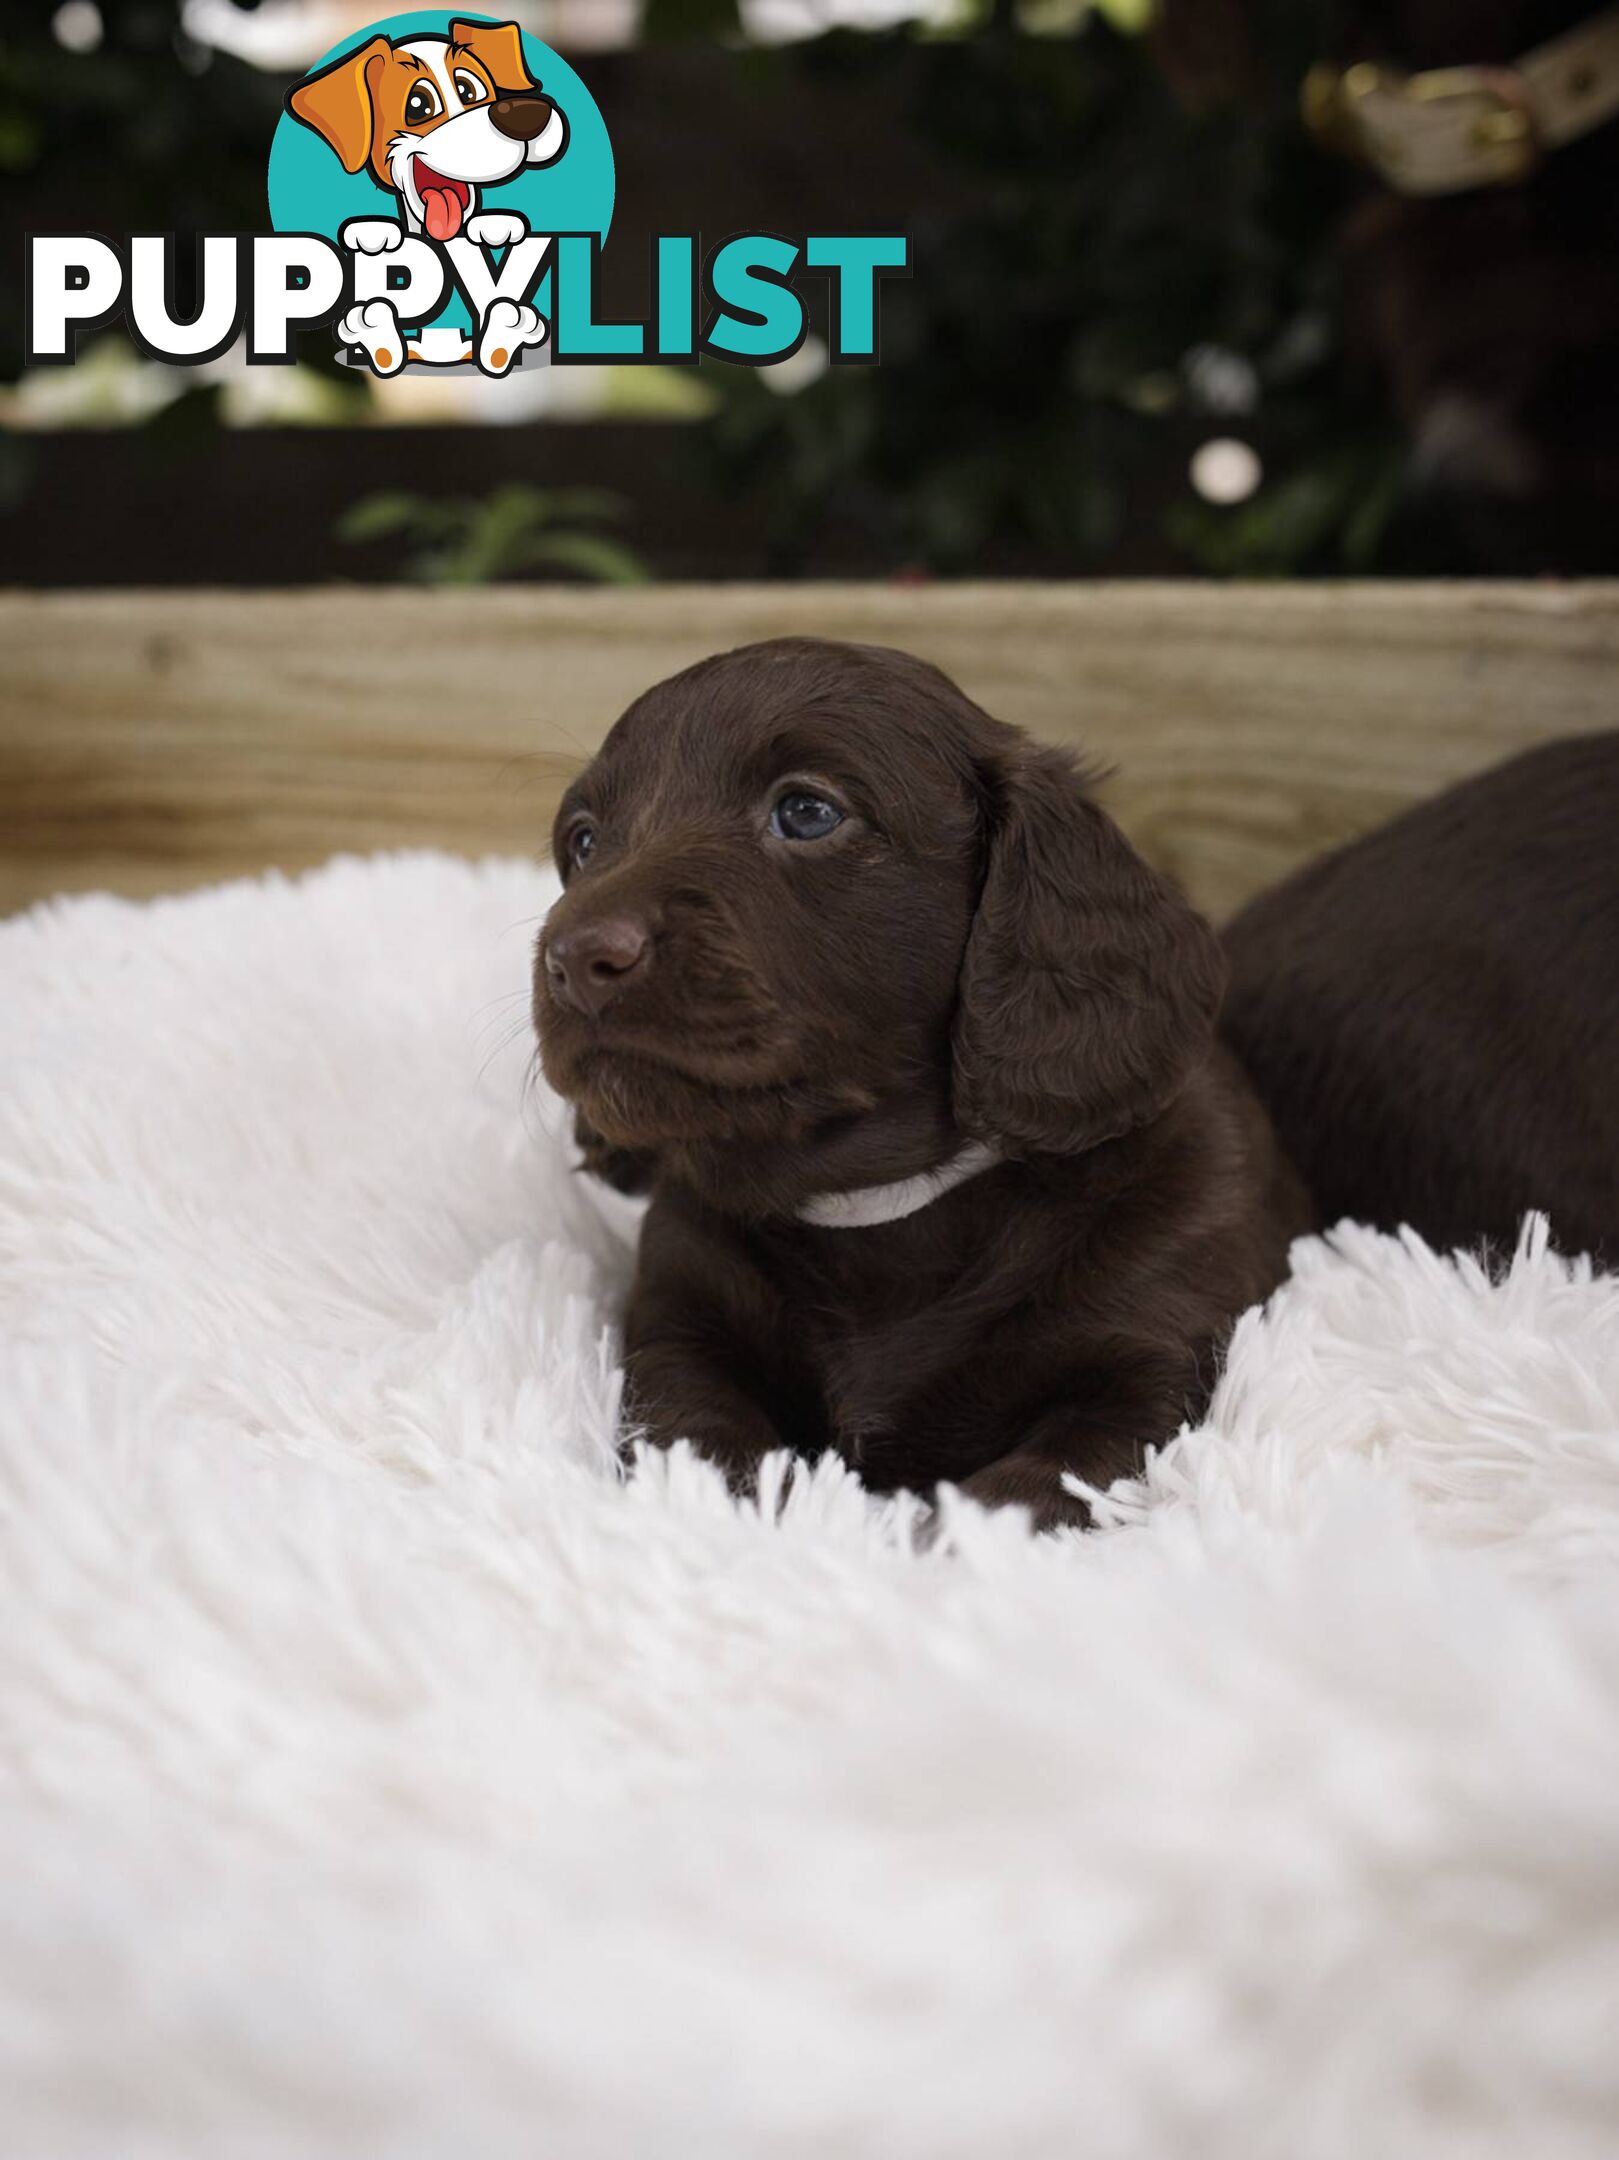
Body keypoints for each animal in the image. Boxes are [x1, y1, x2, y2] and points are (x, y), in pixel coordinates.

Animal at [539, 630, 1312, 1529]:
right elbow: (696, 1439)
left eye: (806, 812)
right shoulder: (679, 1325)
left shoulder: (1148, 1361)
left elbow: (1032, 1489)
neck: (874, 1210)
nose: (573, 960)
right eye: (583, 841)